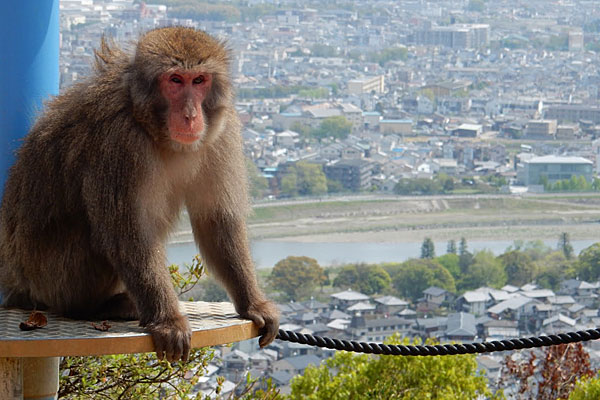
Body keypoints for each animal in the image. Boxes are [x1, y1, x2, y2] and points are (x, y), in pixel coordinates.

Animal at [0, 26, 280, 360]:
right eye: (175, 80)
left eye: (199, 81)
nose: (190, 115)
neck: (150, 124)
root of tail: (18, 281)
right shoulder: (120, 140)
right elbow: (129, 234)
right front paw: (167, 320)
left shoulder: (221, 132)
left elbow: (216, 221)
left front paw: (253, 304)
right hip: (50, 277)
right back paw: (96, 307)